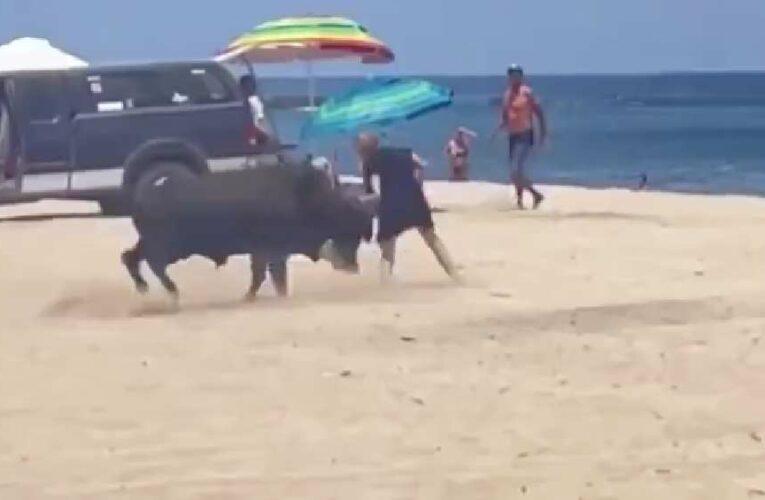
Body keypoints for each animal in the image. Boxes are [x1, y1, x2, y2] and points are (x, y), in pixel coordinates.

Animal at [119, 162, 376, 298]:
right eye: (348, 228)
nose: (352, 267)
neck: (303, 195)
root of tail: (145, 192)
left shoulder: (264, 251)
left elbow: (263, 275)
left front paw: (251, 297)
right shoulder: (272, 250)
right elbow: (272, 276)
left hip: (154, 243)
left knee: (130, 257)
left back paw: (145, 287)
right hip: (170, 247)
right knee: (153, 262)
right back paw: (172, 291)